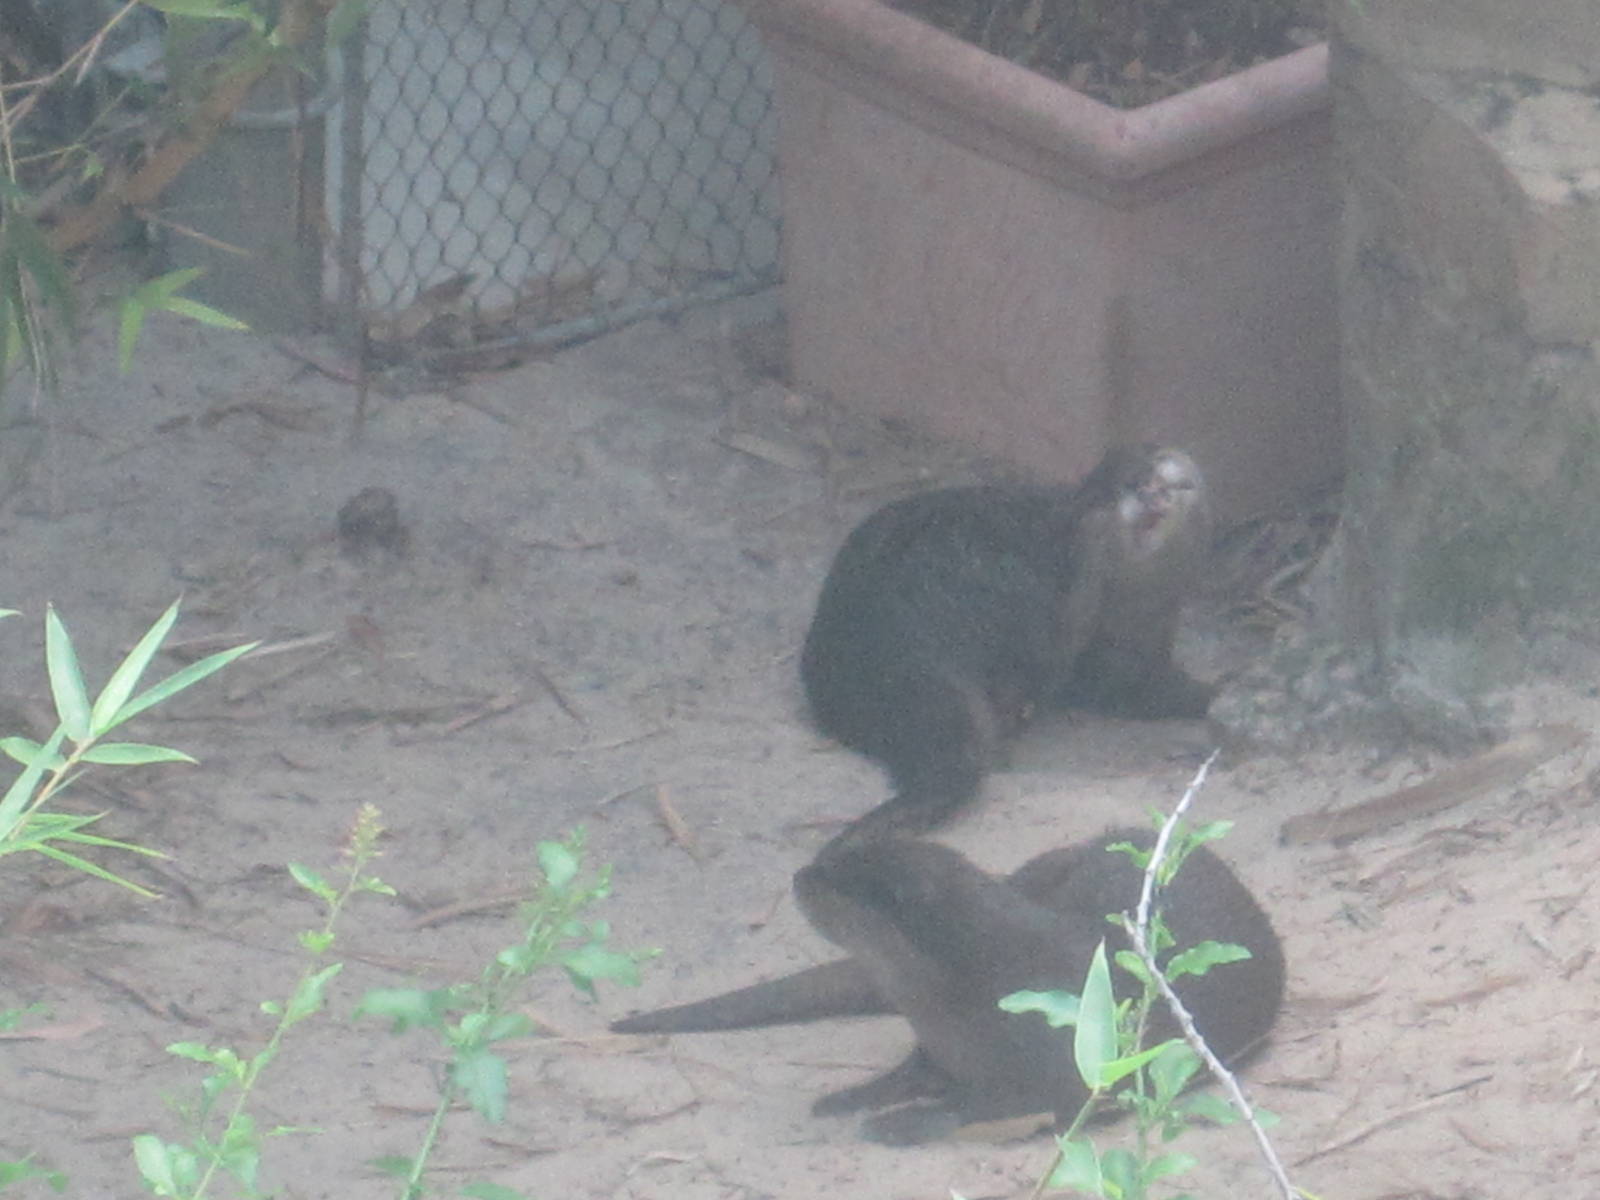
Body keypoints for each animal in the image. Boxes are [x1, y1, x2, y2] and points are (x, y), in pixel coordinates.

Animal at [612, 829, 1284, 1145]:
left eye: (839, 882)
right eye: (838, 859)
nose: (802, 873)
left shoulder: (1070, 1062)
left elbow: (989, 1106)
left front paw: (902, 1123)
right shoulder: (937, 1041)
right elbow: (912, 1071)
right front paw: (855, 1095)